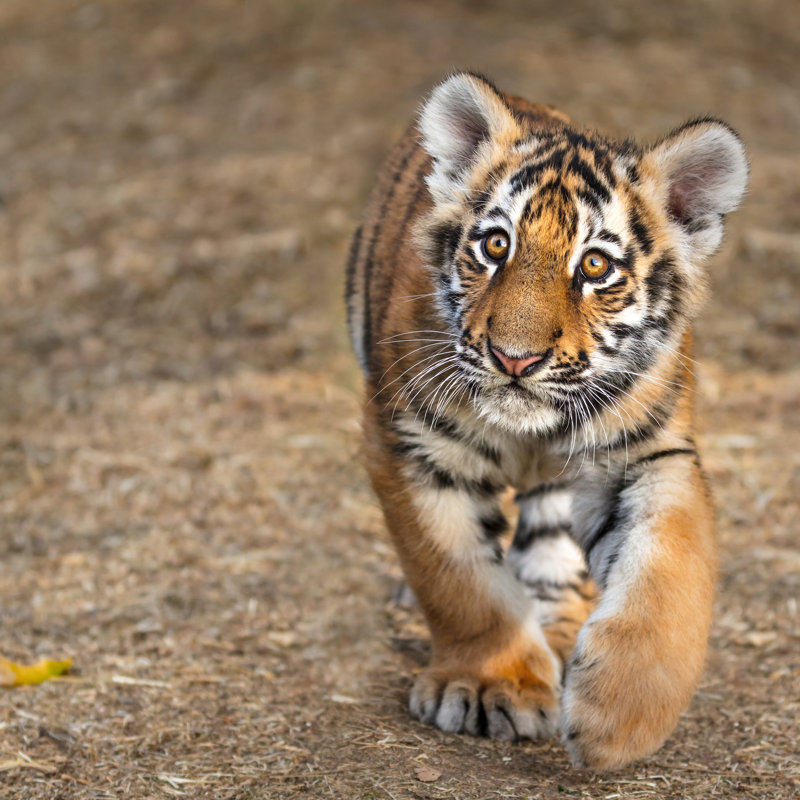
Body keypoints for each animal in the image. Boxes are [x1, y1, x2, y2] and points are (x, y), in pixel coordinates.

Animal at [345, 71, 747, 769]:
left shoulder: (647, 454)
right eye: (495, 245)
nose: (515, 357)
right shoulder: (416, 446)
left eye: (595, 267)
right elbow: (459, 579)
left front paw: (619, 719)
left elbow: (669, 571)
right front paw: (492, 685)